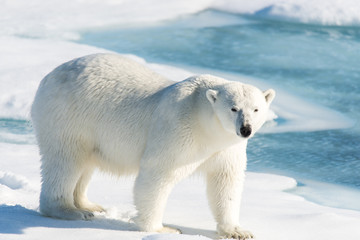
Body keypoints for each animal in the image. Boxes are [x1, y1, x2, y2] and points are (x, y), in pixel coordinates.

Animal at [31, 53, 276, 239]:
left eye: (256, 109)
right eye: (233, 108)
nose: (245, 129)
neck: (204, 120)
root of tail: (47, 78)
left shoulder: (226, 148)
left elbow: (226, 182)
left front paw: (238, 231)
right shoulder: (179, 130)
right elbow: (157, 174)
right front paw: (162, 229)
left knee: (85, 164)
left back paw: (88, 205)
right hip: (68, 116)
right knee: (66, 160)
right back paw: (69, 210)